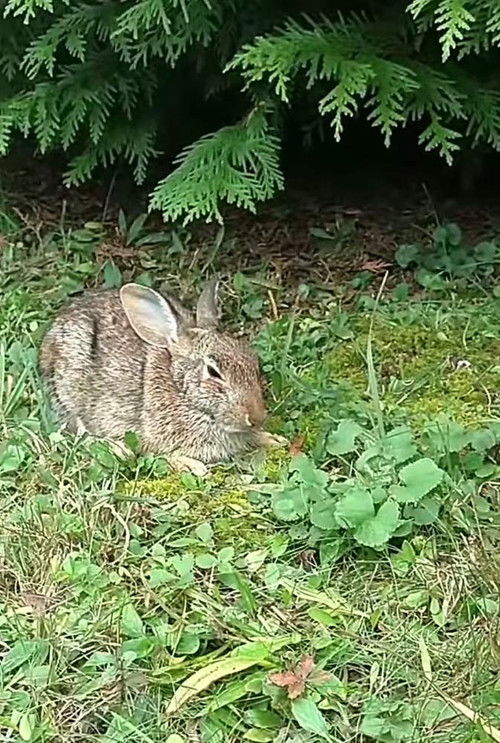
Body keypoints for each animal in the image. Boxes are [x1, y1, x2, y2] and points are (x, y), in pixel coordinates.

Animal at [39, 279, 287, 475]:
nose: (257, 417)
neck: (185, 395)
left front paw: (273, 439)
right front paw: (193, 466)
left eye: (254, 360)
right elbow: (161, 455)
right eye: (213, 372)